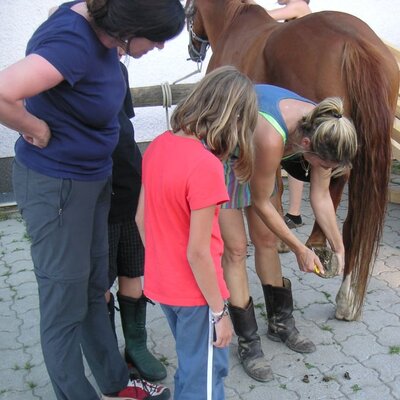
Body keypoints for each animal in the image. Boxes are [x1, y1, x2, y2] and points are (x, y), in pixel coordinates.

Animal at [185, 0, 400, 320]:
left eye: (189, 11)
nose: (193, 48)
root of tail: (357, 42)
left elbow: (275, 190)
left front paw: (278, 242)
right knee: (353, 222)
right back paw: (347, 295)